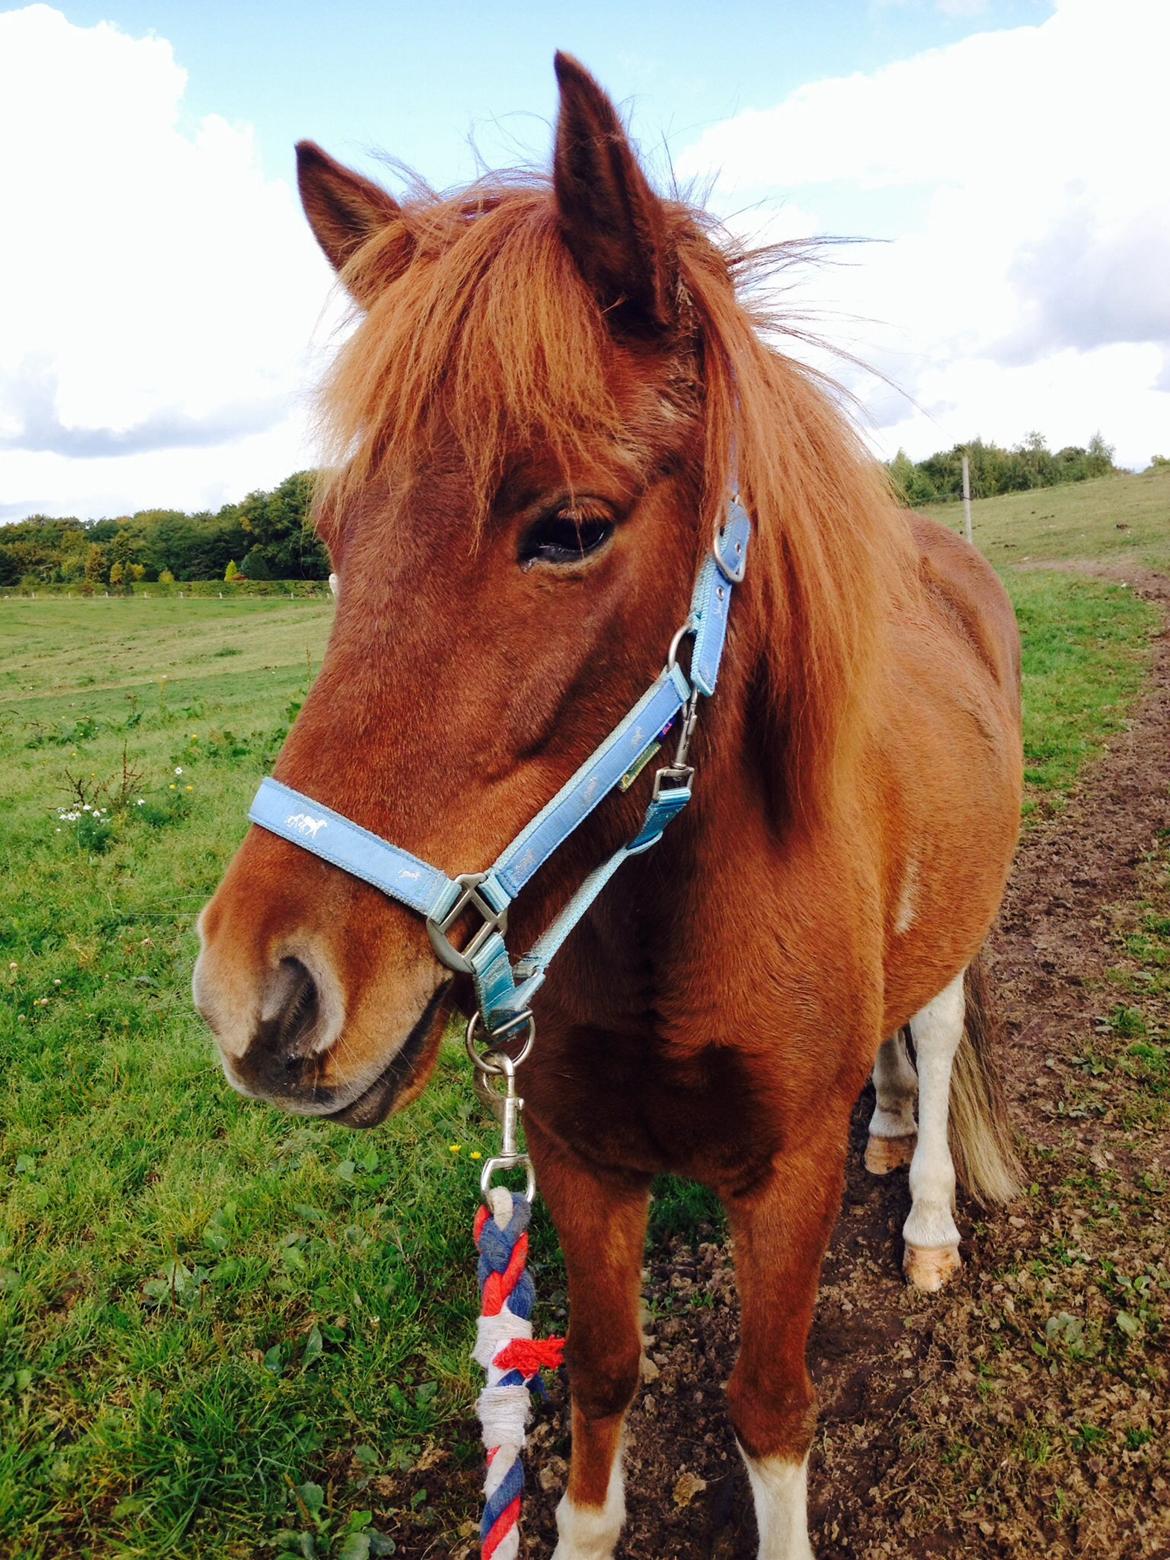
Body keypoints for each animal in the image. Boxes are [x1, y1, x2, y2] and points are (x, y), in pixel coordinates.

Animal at [197, 51, 1023, 1560]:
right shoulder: (580, 1161)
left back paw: (928, 1208)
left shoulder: (785, 1176)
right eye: (334, 543)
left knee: (931, 1034)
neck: (666, 930)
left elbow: (770, 1406)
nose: (256, 996)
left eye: (569, 528)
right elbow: (597, 1377)